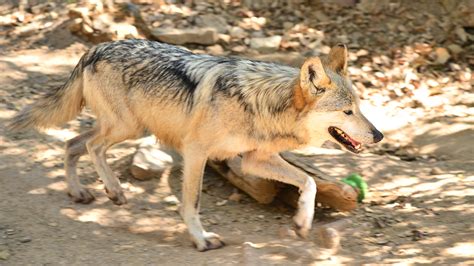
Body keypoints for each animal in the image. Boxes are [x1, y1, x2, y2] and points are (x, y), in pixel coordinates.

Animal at [8, 39, 386, 251]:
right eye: (347, 111)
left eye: (360, 106)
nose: (379, 135)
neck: (262, 103)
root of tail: (94, 49)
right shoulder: (196, 153)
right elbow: (192, 202)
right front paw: (201, 239)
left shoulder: (253, 160)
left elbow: (308, 182)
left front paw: (303, 223)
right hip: (129, 127)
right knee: (89, 146)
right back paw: (110, 190)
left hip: (129, 127)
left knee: (74, 143)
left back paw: (86, 192)